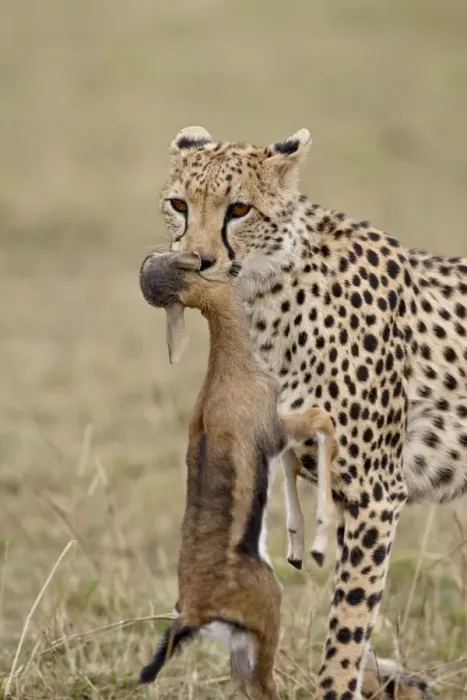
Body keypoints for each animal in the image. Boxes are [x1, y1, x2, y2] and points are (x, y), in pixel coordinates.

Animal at [156, 124, 467, 699]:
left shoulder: (375, 490)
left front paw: (341, 684)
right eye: (179, 204)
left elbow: (349, 619)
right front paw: (391, 679)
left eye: (239, 209)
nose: (197, 261)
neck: (268, 292)